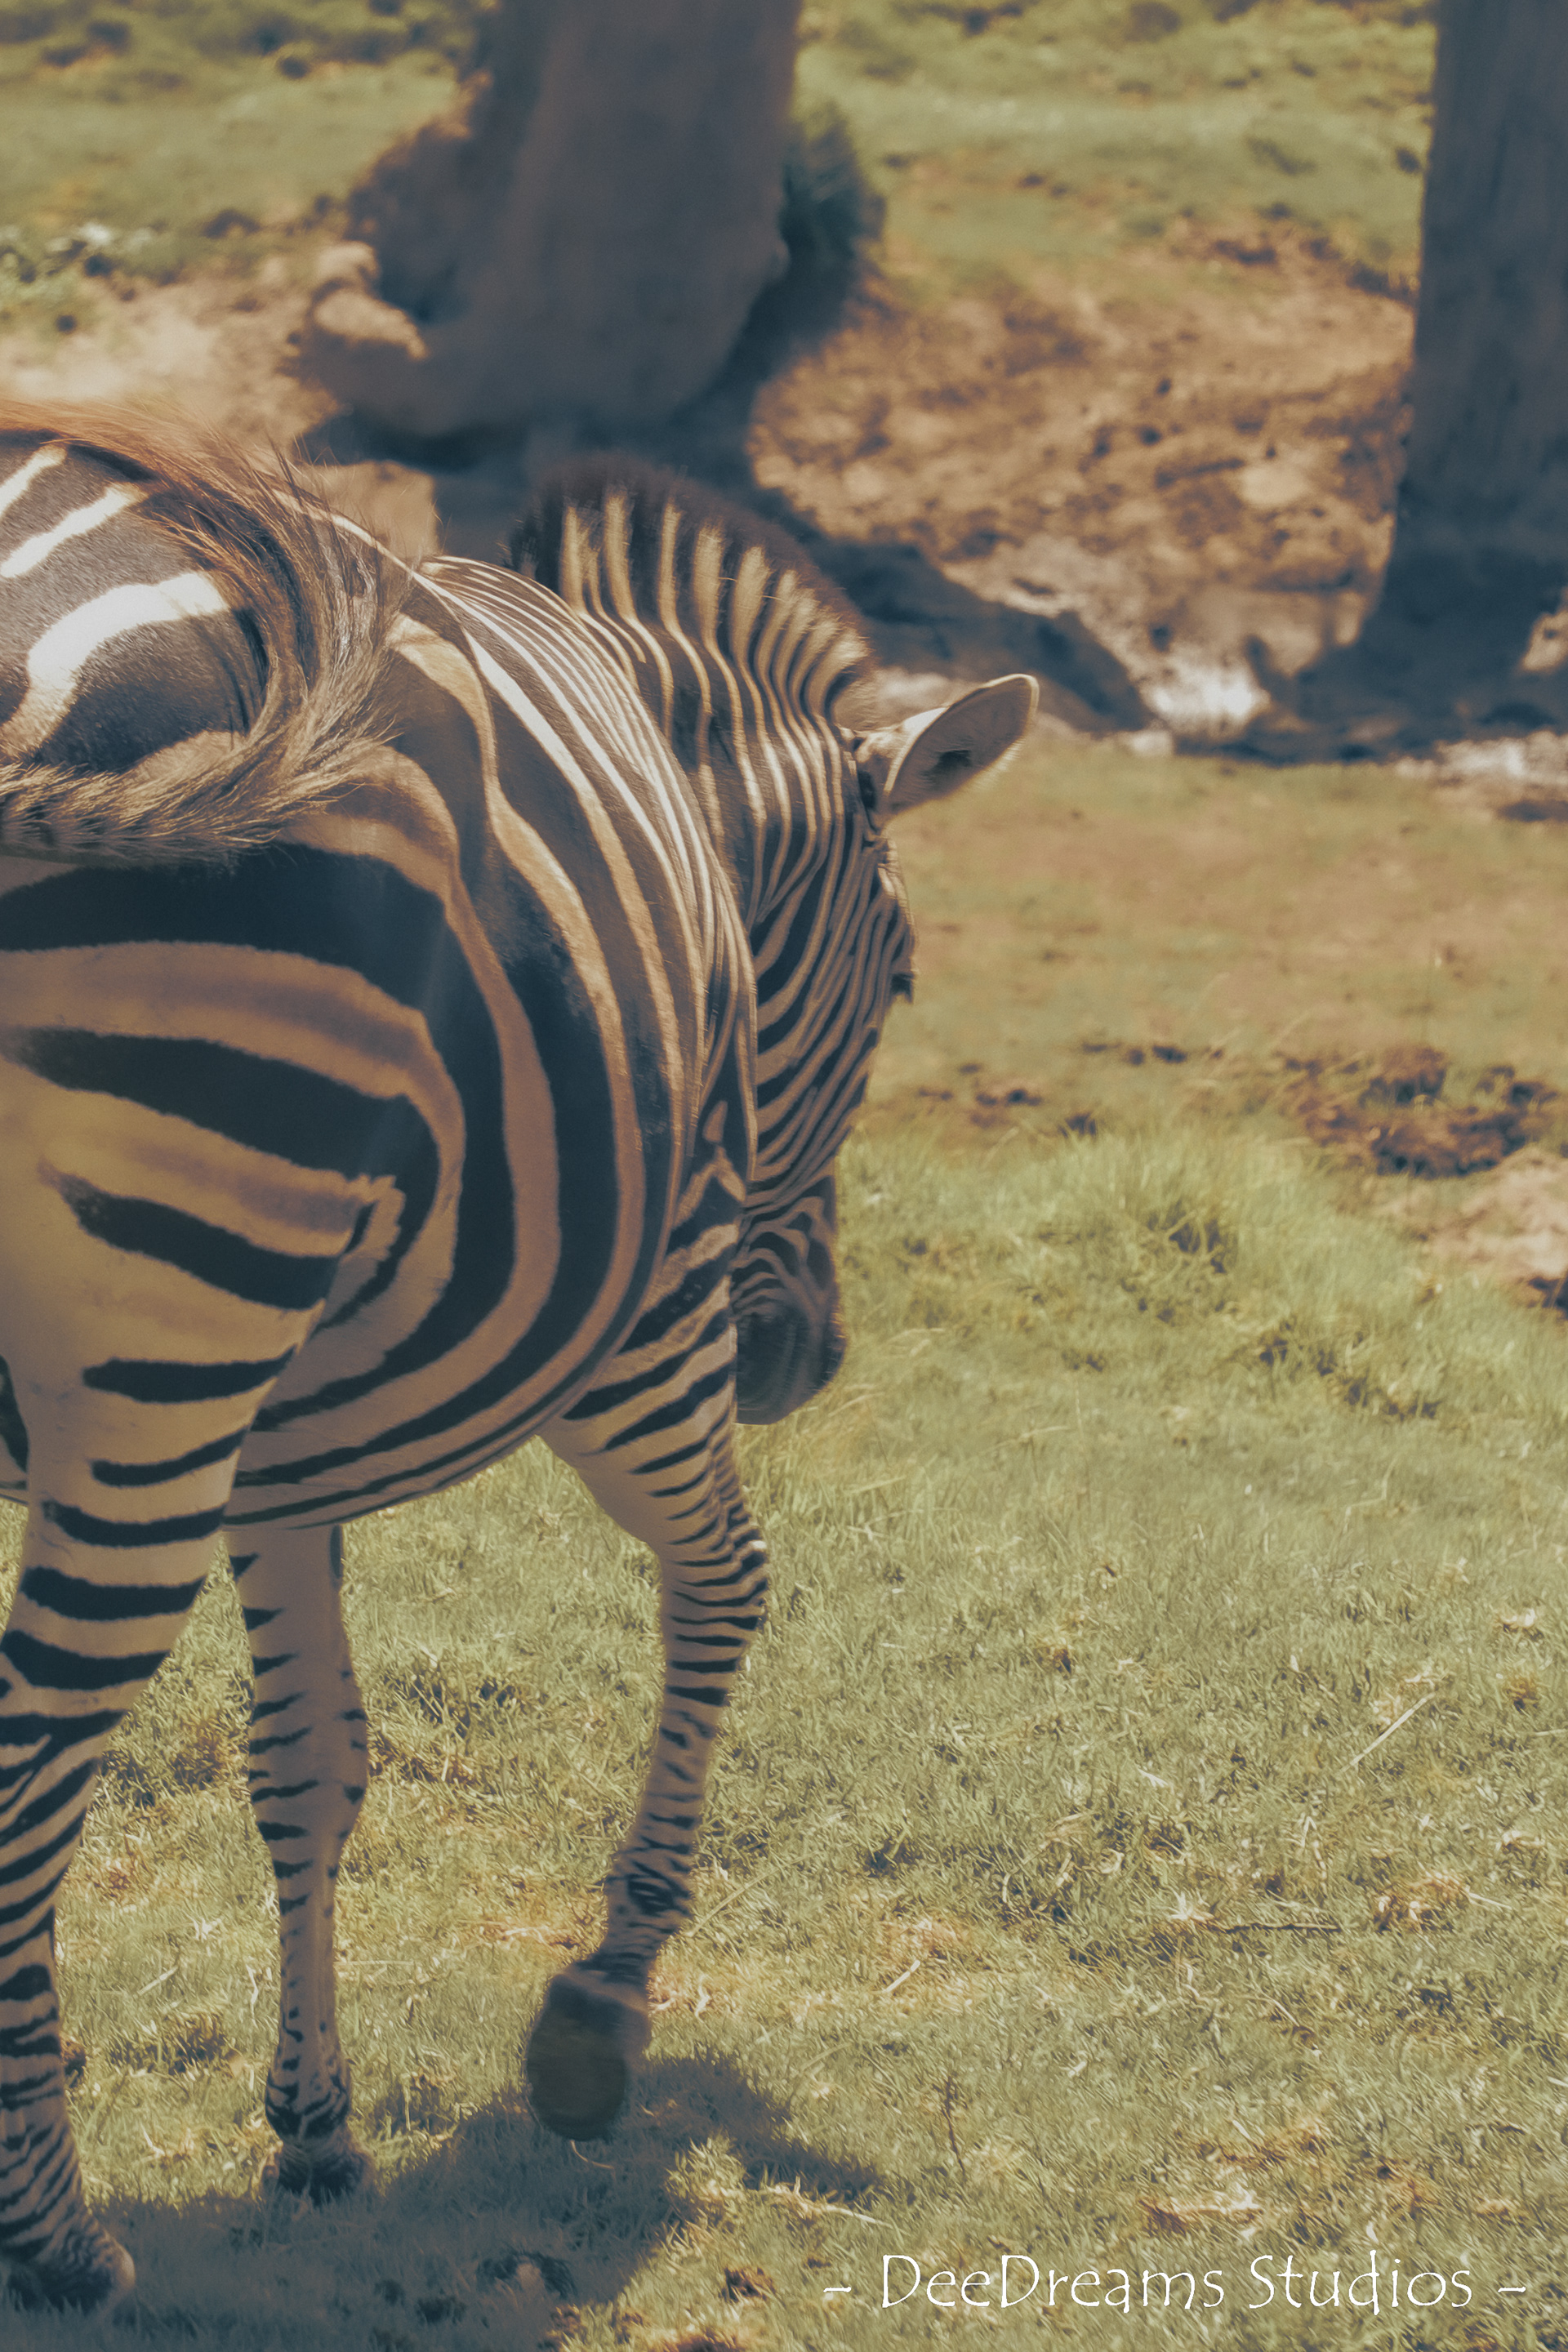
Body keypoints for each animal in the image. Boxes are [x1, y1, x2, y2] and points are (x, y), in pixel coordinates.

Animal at [0, 405, 1035, 2315]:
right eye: (908, 980)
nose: (804, 1357)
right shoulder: (650, 1316)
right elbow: (729, 1586)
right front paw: (598, 2013)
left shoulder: (280, 1445)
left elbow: (309, 1758)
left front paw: (315, 2130)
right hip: (171, 1361)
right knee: (28, 1778)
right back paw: (57, 2235)